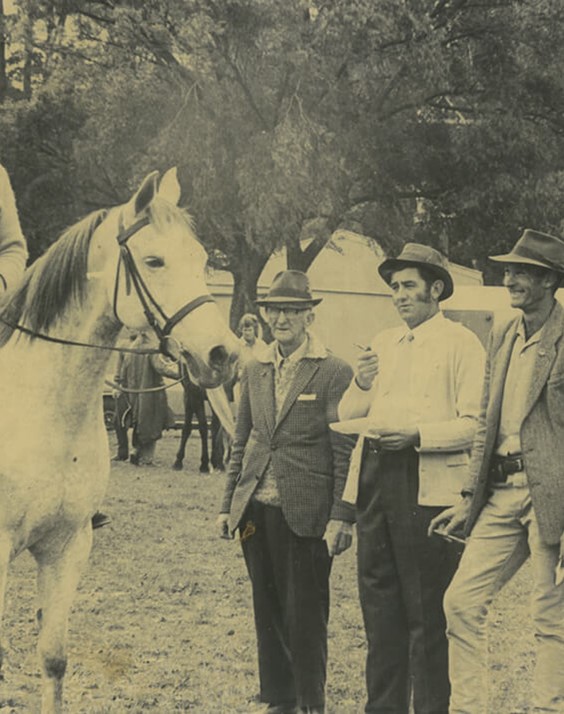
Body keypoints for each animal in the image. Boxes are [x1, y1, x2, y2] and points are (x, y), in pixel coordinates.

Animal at [0, 168, 239, 713]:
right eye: (154, 261)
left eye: (200, 257)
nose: (223, 354)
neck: (44, 407)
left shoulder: (68, 546)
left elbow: (54, 660)